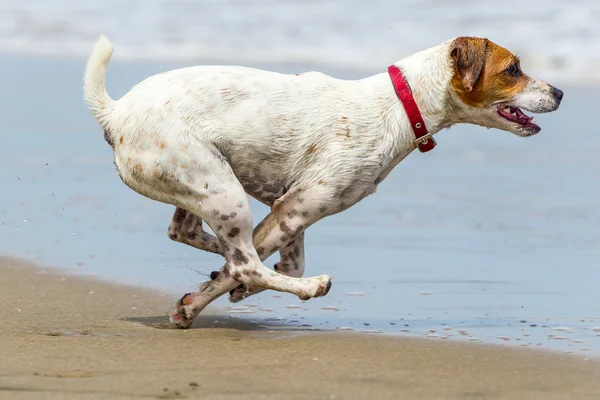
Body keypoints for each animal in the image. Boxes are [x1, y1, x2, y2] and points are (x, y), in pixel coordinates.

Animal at [83, 34, 564, 328]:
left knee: (190, 233)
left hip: (209, 187)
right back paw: (305, 286)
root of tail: (115, 112)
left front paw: (218, 291)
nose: (560, 92)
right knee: (245, 260)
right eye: (514, 69)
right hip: (224, 193)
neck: (399, 104)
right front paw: (199, 302)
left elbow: (279, 262)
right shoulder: (295, 208)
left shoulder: (291, 213)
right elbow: (249, 269)